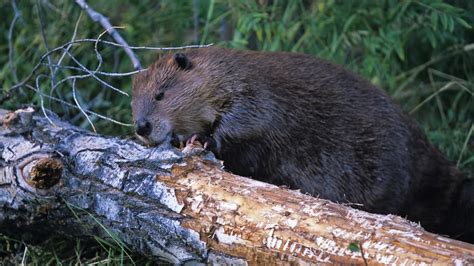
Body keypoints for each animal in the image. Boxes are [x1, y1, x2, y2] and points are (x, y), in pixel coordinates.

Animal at [131, 46, 474, 242]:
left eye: (160, 94)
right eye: (133, 101)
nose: (141, 126)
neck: (227, 73)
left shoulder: (256, 95)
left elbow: (246, 125)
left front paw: (199, 138)